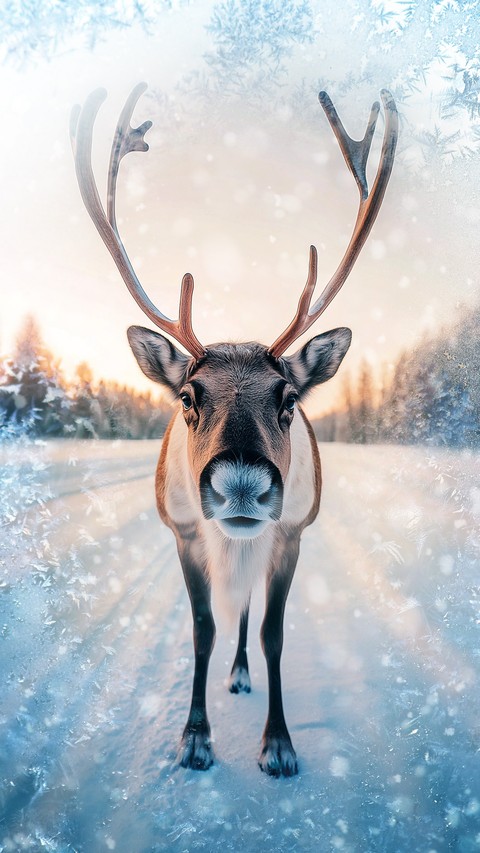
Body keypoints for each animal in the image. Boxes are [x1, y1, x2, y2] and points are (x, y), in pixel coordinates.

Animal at [70, 83, 397, 777]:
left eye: (289, 396)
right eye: (188, 396)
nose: (242, 485)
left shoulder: (292, 533)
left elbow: (272, 631)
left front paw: (278, 743)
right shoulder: (185, 532)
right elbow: (202, 628)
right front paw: (195, 737)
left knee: (248, 610)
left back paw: (243, 673)